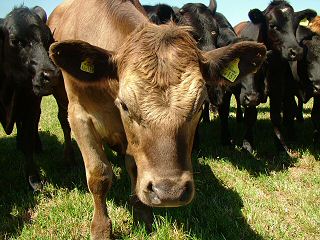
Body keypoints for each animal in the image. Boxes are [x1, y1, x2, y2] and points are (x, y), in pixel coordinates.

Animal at [0, 6, 73, 190]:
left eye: (48, 40)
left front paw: (33, 180)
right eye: (15, 41)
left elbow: (28, 140)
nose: (51, 75)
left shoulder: (30, 106)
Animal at [48, 0, 266, 238]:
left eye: (200, 105)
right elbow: (99, 175)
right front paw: (101, 229)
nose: (169, 192)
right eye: (125, 105)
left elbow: (134, 166)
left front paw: (142, 214)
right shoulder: (79, 116)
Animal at [236, 0, 316, 156]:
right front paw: (248, 144)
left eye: (296, 25)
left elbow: (276, 117)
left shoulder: (278, 89)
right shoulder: (251, 93)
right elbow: (250, 117)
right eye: (273, 25)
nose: (296, 51)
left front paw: (280, 146)